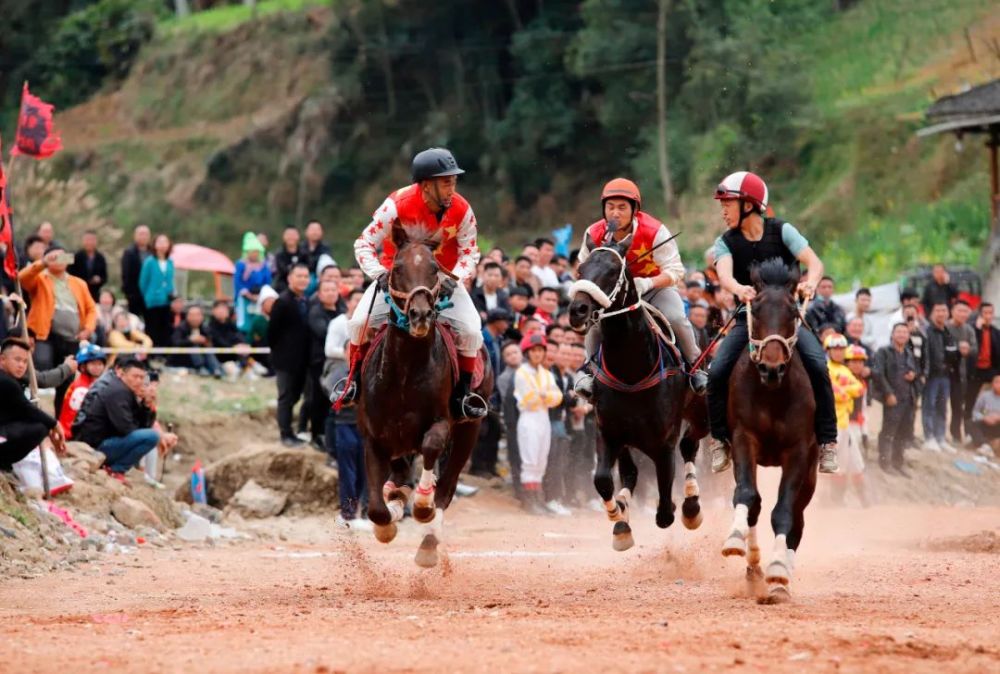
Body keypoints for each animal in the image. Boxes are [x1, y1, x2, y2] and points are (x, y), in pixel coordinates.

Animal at [358, 226, 494, 568]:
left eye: (434, 269)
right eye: (396, 268)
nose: (420, 314)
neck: (405, 371)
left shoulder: (441, 422)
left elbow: (431, 448)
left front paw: (421, 504)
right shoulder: (374, 436)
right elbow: (377, 509)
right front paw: (388, 521)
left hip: (469, 430)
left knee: (447, 486)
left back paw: (429, 539)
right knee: (401, 476)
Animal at [568, 234, 708, 548]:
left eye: (612, 271)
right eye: (581, 269)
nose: (577, 310)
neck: (632, 370)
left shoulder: (663, 441)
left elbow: (665, 502)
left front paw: (682, 509)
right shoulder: (608, 431)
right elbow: (603, 479)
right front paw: (619, 522)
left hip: (699, 411)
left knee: (689, 446)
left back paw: (692, 504)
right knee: (630, 473)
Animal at [724, 258, 816, 604]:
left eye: (793, 312)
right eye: (758, 309)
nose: (771, 368)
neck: (772, 393)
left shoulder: (799, 450)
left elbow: (784, 513)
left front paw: (778, 571)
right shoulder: (743, 437)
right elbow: (748, 495)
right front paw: (734, 540)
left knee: (798, 518)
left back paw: (780, 578)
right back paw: (753, 569)